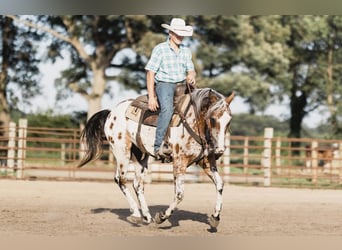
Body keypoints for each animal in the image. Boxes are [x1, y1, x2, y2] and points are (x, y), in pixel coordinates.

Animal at [77, 87, 234, 229]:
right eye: (212, 119)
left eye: (229, 120)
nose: (220, 150)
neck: (192, 121)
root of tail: (111, 112)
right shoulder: (179, 161)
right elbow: (179, 194)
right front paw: (162, 217)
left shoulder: (206, 161)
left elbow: (220, 185)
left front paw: (215, 217)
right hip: (122, 151)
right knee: (120, 179)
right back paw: (136, 214)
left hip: (141, 156)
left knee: (137, 184)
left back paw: (146, 216)